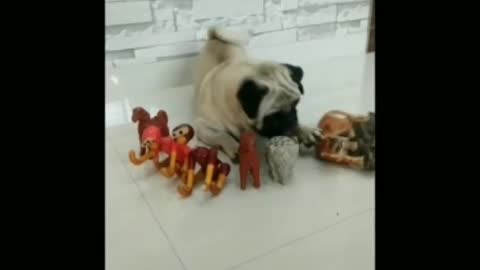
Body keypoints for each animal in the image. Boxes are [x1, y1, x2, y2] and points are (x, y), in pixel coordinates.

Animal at [191, 26, 318, 160]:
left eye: (296, 104)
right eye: (273, 118)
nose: (290, 119)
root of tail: (214, 36)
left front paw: (304, 130)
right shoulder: (203, 127)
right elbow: (222, 135)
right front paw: (234, 146)